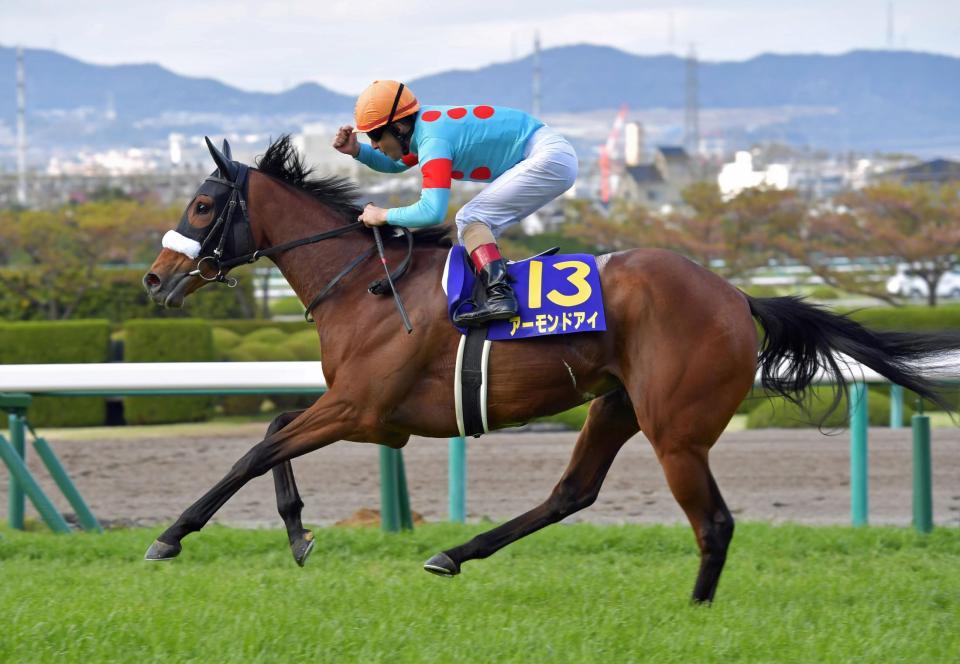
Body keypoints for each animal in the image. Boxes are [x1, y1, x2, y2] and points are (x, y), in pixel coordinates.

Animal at [141, 135, 958, 603]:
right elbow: (274, 430)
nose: (154, 279)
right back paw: (454, 554)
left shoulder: (363, 410)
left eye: (204, 204)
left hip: (675, 428)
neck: (363, 280)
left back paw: (696, 610)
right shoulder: (364, 413)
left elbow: (254, 450)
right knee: (573, 492)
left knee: (714, 522)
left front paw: (172, 536)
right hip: (616, 404)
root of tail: (736, 295)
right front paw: (297, 530)